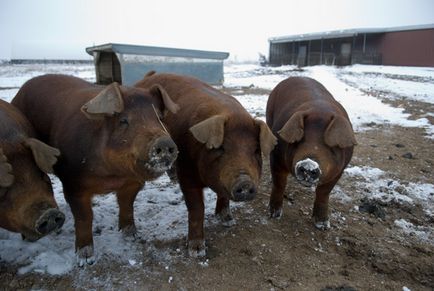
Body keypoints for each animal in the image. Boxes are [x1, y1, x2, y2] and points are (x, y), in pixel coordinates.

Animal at [11, 74, 179, 266]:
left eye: (160, 118)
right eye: (123, 120)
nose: (164, 142)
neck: (113, 176)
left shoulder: (133, 183)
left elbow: (127, 205)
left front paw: (132, 236)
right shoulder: (73, 184)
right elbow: (84, 218)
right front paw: (85, 259)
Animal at [268, 77, 356, 230]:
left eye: (331, 146)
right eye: (300, 140)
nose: (308, 164)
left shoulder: (340, 170)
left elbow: (324, 193)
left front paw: (323, 225)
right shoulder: (276, 157)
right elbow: (279, 184)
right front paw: (273, 215)